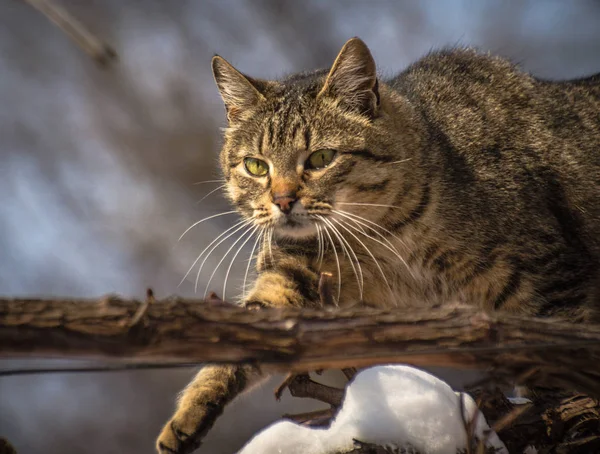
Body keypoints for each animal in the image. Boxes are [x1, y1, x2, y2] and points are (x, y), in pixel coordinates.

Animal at [156, 37, 600, 452]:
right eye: (255, 166)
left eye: (320, 158)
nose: (282, 200)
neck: (383, 238)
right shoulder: (295, 276)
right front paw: (188, 414)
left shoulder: (546, 277)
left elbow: (556, 359)